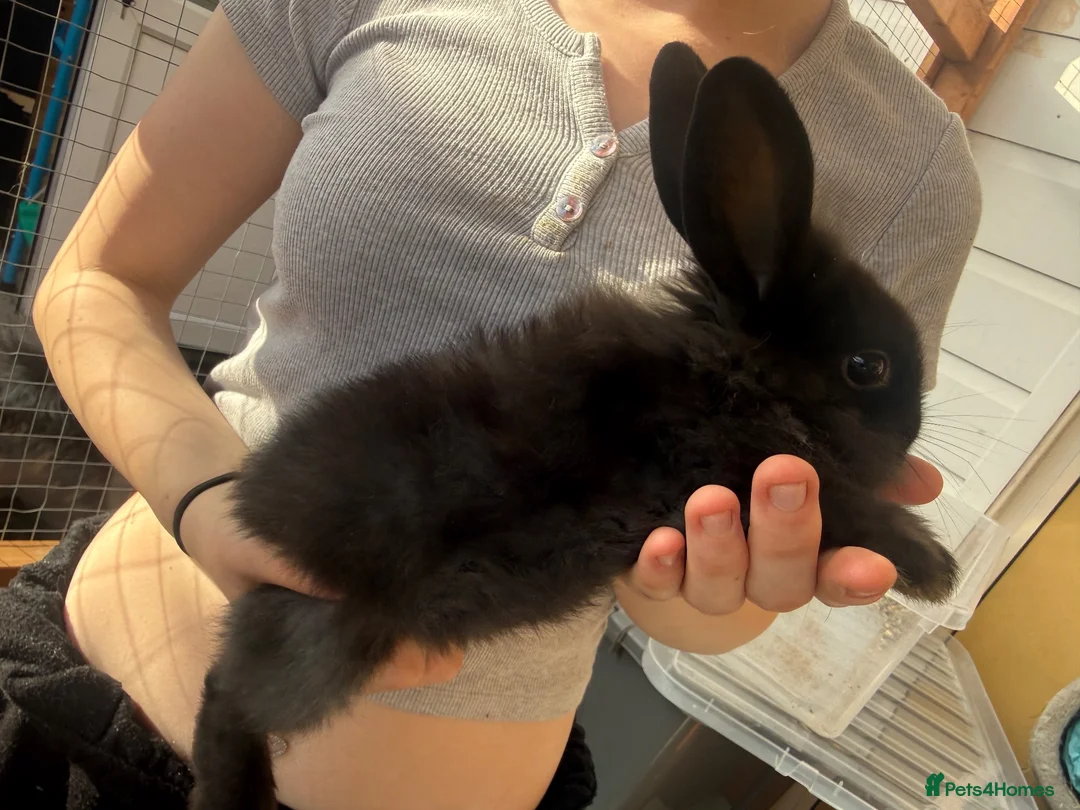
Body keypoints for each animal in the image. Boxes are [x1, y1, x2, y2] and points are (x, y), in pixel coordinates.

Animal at [188, 42, 961, 810]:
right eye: (867, 366)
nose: (913, 432)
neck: (732, 377)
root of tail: (259, 510)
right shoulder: (740, 467)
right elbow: (852, 510)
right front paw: (935, 570)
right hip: (327, 640)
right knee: (225, 698)